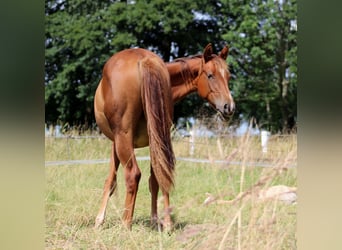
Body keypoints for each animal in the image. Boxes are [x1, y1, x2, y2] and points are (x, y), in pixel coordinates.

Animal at [94, 43, 235, 230]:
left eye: (228, 76)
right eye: (210, 75)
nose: (229, 107)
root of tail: (144, 61)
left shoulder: (116, 141)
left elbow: (111, 180)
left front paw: (99, 220)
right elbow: (154, 180)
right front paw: (156, 220)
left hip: (124, 138)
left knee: (133, 175)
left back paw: (126, 224)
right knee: (161, 174)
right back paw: (167, 223)